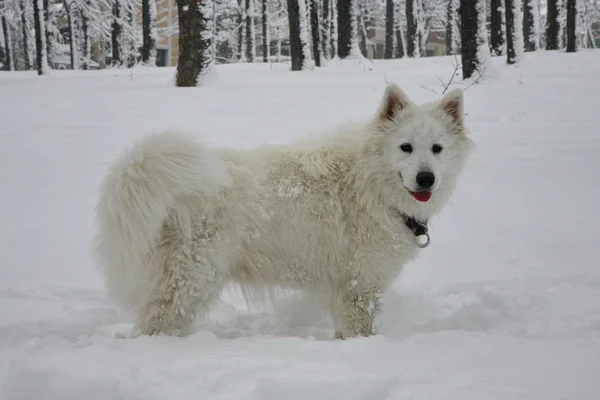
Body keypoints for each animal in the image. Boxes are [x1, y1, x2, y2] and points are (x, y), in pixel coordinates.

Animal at [92, 83, 474, 338]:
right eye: (405, 147)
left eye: (437, 149)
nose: (425, 178)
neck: (368, 183)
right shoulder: (359, 286)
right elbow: (360, 329)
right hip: (192, 281)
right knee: (156, 322)